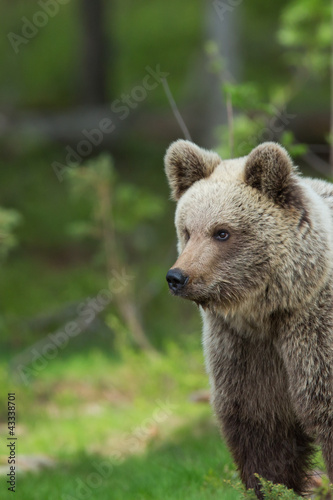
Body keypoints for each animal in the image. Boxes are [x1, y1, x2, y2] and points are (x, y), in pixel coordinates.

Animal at [164, 139, 333, 498]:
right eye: (187, 230)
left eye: (222, 232)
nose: (177, 277)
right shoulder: (244, 346)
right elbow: (260, 424)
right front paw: (274, 486)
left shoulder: (313, 329)